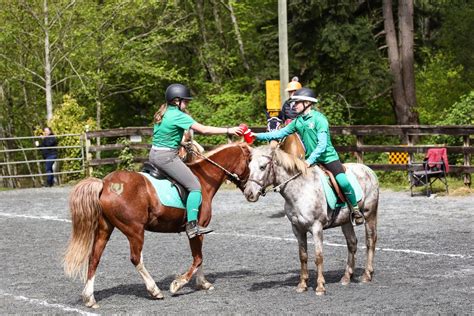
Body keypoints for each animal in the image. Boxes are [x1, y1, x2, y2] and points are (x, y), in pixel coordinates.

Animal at [65, 142, 254, 308]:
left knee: (94, 258)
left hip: (105, 229)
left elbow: (199, 257)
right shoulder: (196, 229)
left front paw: (203, 283)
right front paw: (178, 284)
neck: (204, 179)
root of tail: (105, 184)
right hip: (135, 231)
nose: (251, 192)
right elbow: (198, 258)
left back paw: (89, 298)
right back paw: (154, 290)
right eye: (250, 162)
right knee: (136, 259)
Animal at [243, 144, 380, 296]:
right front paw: (302, 284)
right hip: (345, 221)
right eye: (249, 167)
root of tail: (368, 170)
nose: (248, 193)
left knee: (370, 241)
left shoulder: (316, 227)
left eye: (262, 167)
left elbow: (318, 257)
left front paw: (320, 286)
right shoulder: (297, 229)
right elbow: (303, 256)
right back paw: (346, 277)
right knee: (352, 243)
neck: (300, 190)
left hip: (370, 214)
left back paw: (367, 274)